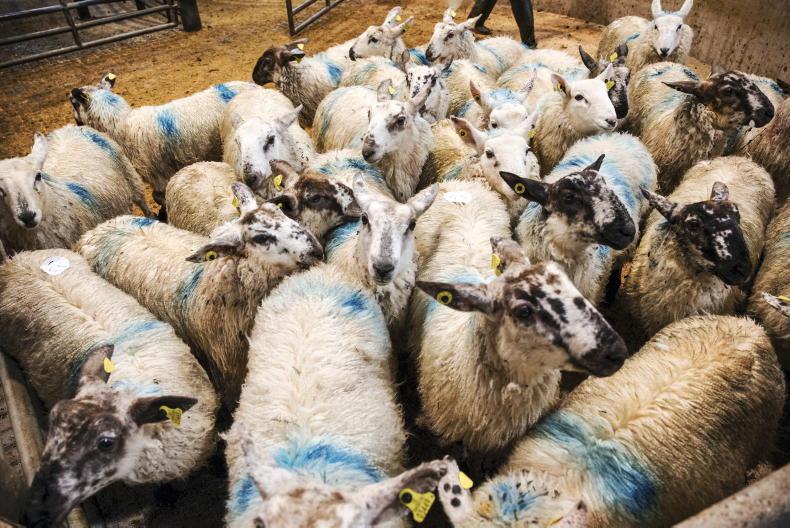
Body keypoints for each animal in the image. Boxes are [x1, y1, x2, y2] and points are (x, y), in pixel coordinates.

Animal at [0, 126, 151, 257]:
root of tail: (68, 127)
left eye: (38, 176)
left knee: (141, 199)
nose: (27, 216)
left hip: (129, 174)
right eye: (0, 189)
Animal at [70, 74, 253, 206]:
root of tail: (252, 85)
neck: (123, 127)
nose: (76, 123)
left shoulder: (158, 176)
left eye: (74, 103)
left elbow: (158, 197)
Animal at [75, 185, 324, 409]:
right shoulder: (228, 373)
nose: (316, 250)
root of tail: (98, 229)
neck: (215, 280)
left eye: (280, 212)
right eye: (261, 238)